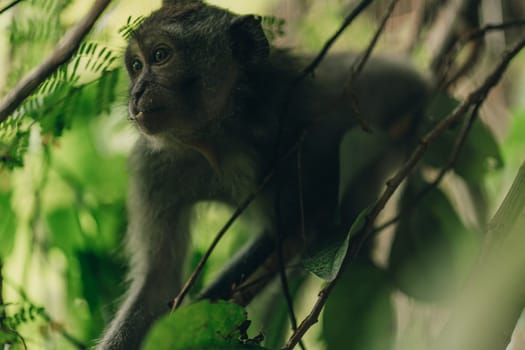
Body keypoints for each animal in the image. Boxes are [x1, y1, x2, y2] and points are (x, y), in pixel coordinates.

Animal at [96, 1, 428, 348]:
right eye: (136, 66)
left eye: (160, 55)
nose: (136, 92)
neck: (215, 139)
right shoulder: (153, 168)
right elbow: (157, 282)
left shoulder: (295, 109)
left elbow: (291, 227)